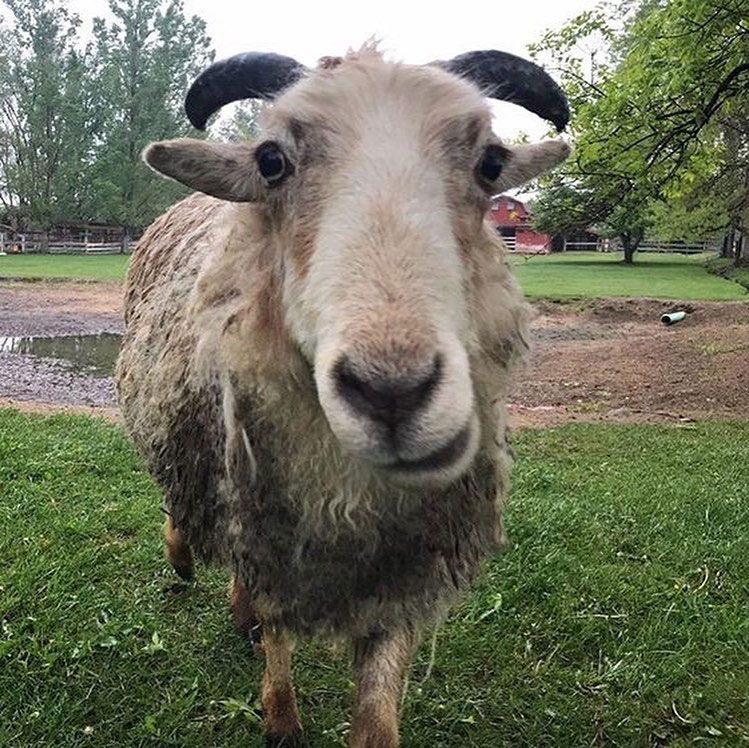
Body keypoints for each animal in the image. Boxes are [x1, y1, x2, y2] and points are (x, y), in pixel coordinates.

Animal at [116, 44, 569, 747]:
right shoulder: (269, 525)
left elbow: (376, 711)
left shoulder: (404, 565)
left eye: (491, 163)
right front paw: (280, 719)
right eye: (271, 161)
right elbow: (278, 637)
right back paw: (186, 560)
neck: (351, 500)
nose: (392, 393)